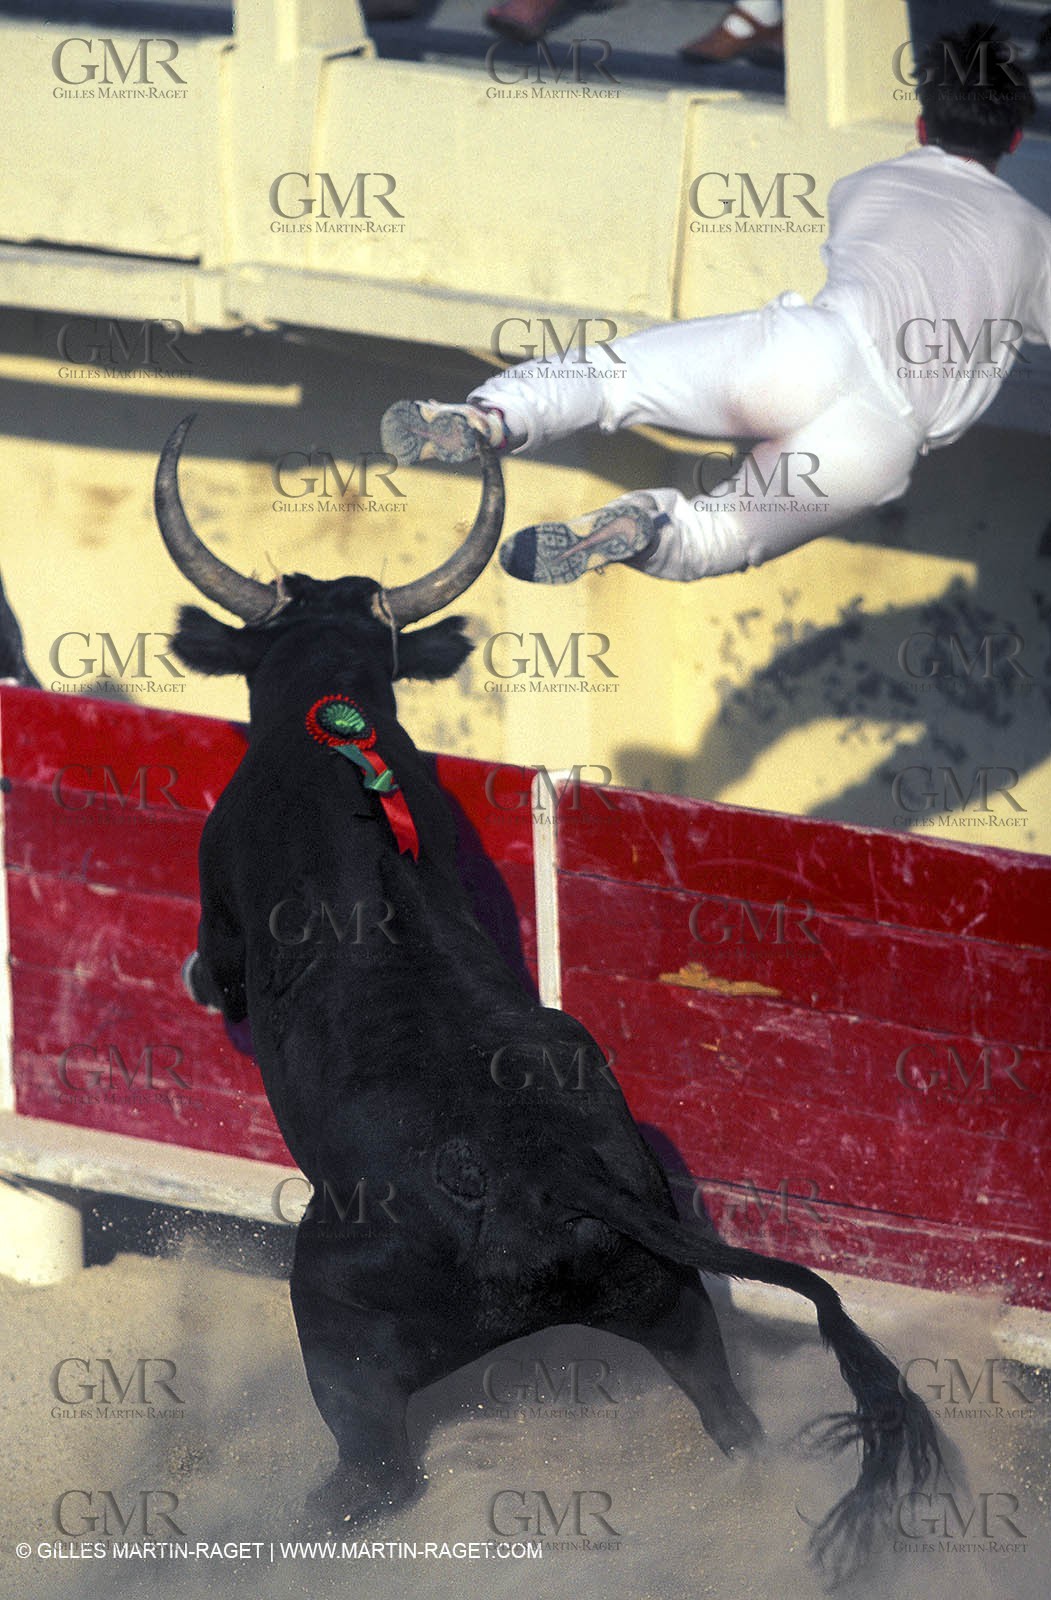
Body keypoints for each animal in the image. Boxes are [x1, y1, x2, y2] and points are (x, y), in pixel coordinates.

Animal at [155, 415, 941, 1585]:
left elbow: (219, 968)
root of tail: (553, 1173)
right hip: (673, 1308)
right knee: (732, 1421)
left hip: (334, 1316)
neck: (329, 727)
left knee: (374, 1474)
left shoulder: (223, 905)